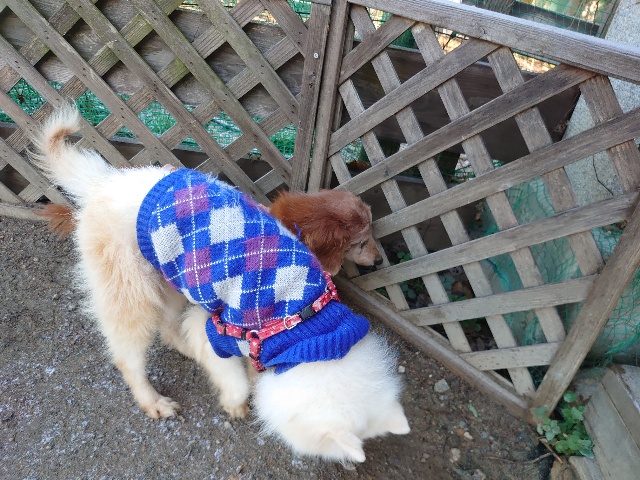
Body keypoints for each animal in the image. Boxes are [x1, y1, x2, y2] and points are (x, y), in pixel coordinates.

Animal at [31, 105, 409, 464]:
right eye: (361, 242)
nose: (379, 261)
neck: (304, 320)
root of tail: (103, 181)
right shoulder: (216, 326)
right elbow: (235, 380)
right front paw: (237, 402)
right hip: (133, 294)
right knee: (128, 356)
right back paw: (153, 400)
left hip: (171, 278)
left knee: (168, 326)